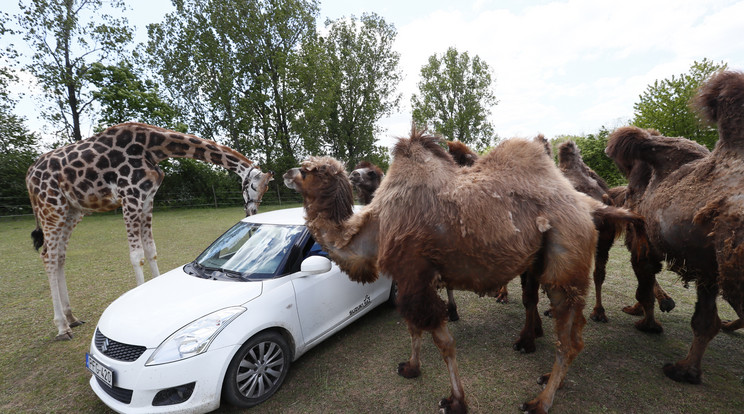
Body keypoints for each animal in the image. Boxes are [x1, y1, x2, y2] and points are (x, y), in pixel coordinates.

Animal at [26, 120, 278, 340]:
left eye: (265, 190)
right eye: (253, 185)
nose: (252, 210)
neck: (154, 148)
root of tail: (29, 176)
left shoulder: (148, 199)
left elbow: (151, 251)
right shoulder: (130, 197)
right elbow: (136, 255)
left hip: (72, 210)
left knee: (59, 256)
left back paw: (71, 317)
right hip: (52, 207)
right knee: (48, 256)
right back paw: (62, 327)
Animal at [284, 132, 640, 414]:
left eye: (311, 169)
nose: (286, 173)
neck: (376, 226)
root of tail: (589, 204)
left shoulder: (414, 273)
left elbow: (443, 342)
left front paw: (455, 401)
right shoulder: (411, 278)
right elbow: (414, 328)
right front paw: (410, 367)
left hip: (566, 258)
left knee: (569, 339)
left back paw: (539, 401)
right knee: (568, 332)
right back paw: (549, 377)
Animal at [604, 69, 744, 384]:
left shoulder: (644, 245)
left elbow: (644, 288)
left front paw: (647, 322)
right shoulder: (707, 267)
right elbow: (704, 321)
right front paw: (687, 370)